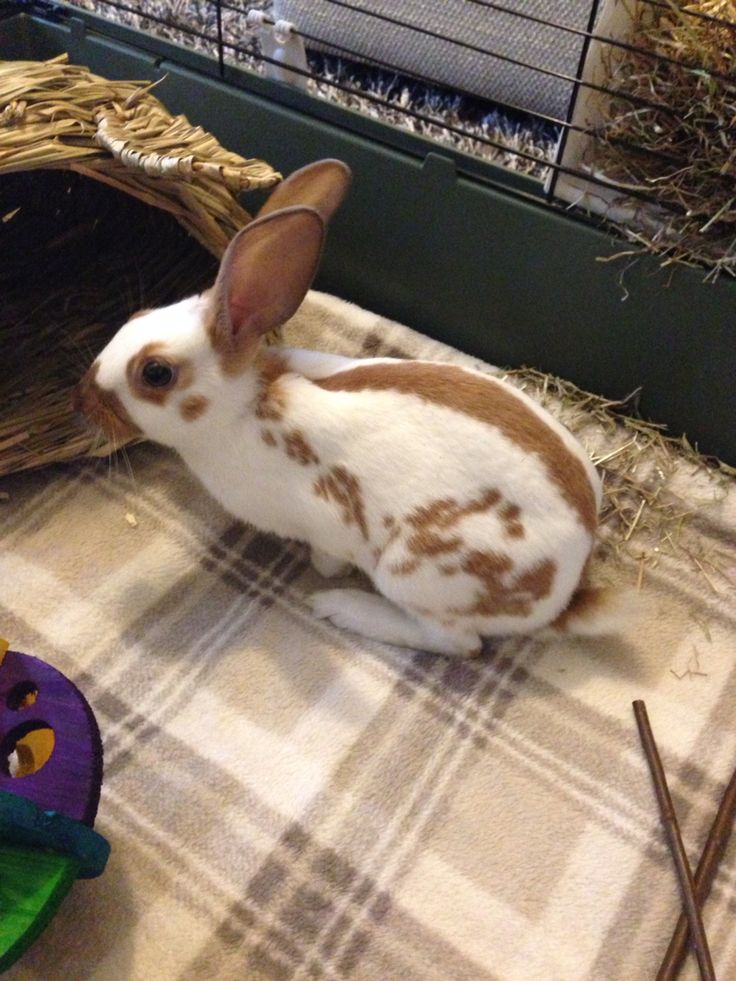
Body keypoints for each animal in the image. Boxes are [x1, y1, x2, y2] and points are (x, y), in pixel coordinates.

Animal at [76, 157, 628, 656]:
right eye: (139, 314)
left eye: (155, 373)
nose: (84, 397)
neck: (240, 409)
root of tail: (567, 590)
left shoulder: (325, 522)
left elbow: (327, 555)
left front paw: (323, 573)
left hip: (415, 569)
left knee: (459, 643)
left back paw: (343, 607)